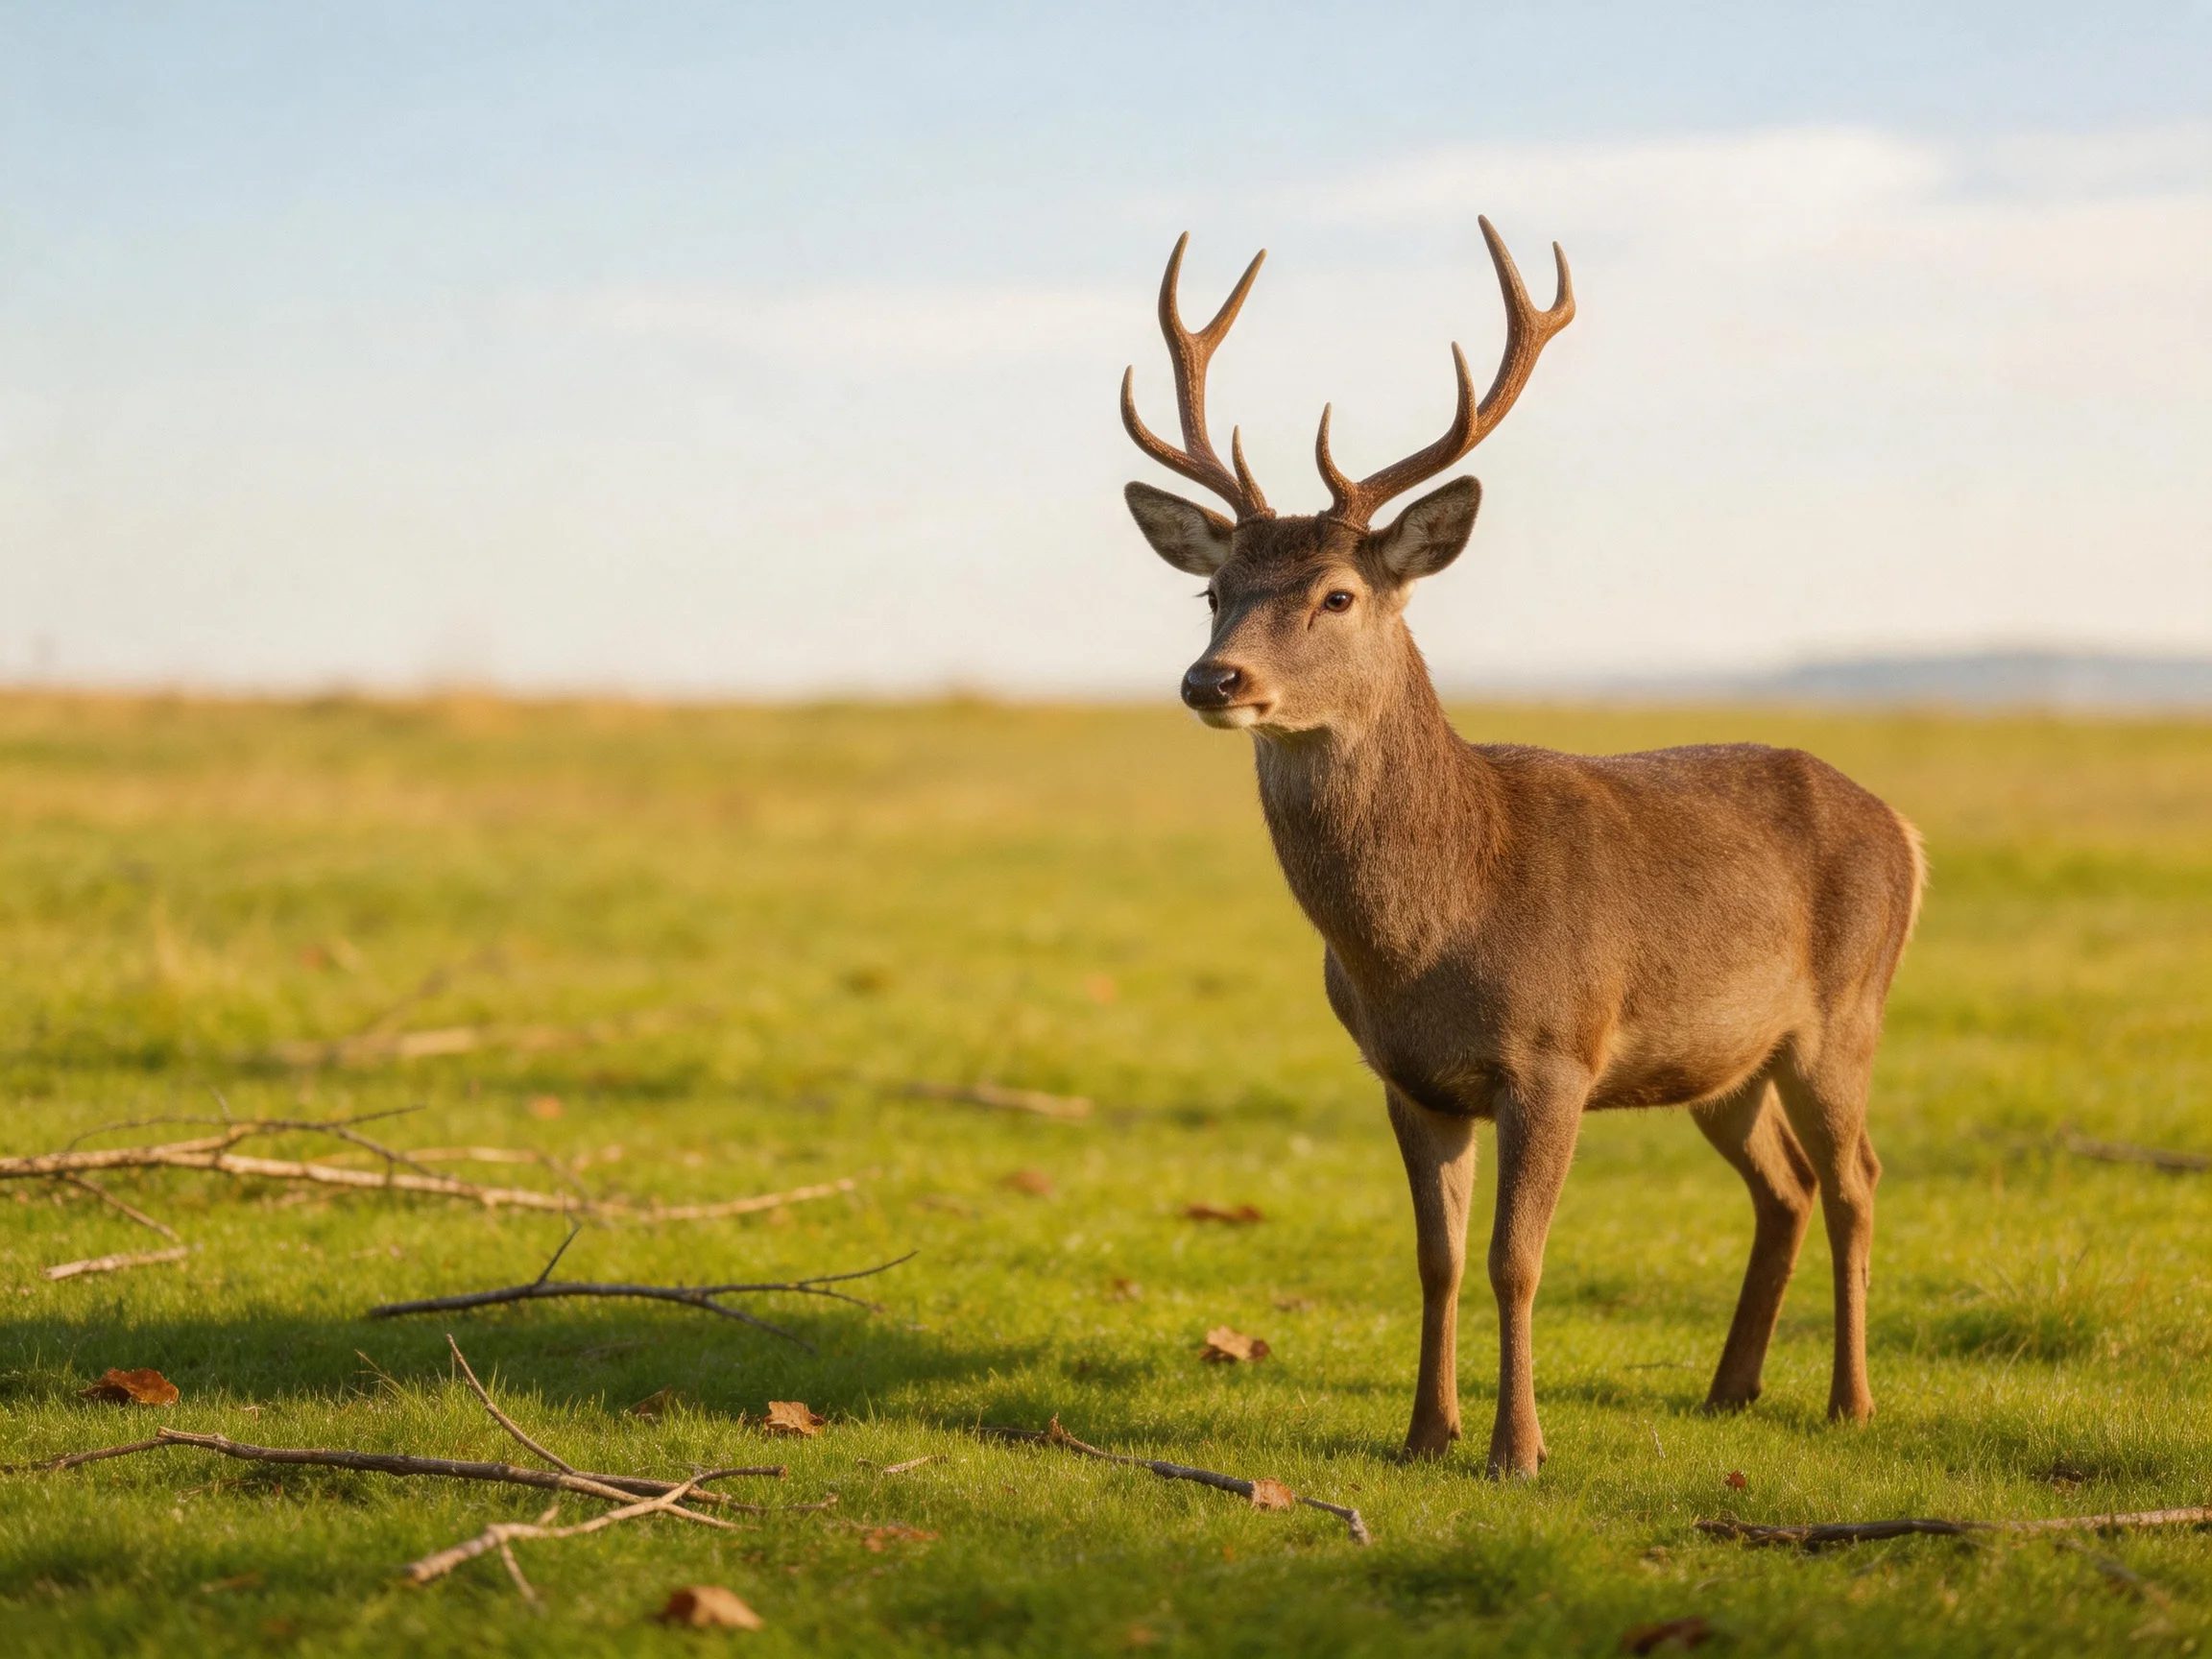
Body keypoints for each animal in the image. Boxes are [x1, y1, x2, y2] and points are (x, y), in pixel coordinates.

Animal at [1118, 222, 1925, 1478]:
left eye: (1338, 594)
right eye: (1213, 590)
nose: (1215, 679)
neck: (1437, 930)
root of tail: (1905, 829)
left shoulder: (1556, 1052)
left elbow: (1515, 1259)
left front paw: (1518, 1450)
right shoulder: (1406, 1075)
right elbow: (1436, 1258)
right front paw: (1422, 1435)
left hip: (1845, 1012)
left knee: (1856, 1179)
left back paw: (1850, 1402)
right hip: (1721, 1060)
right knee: (1785, 1186)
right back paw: (1728, 1389)